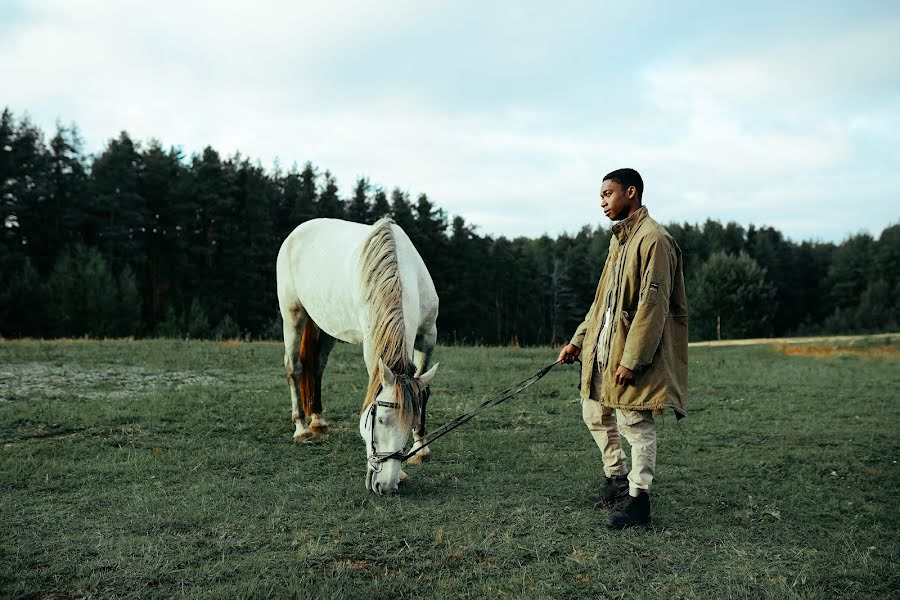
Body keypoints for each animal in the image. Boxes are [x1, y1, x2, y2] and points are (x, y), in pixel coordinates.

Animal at [276, 218, 442, 494]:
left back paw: (318, 420)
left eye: (409, 423)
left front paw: (421, 449)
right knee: (294, 368)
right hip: (293, 315)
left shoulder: (428, 339)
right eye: (381, 420)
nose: (386, 485)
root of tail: (297, 232)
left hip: (326, 326)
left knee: (317, 365)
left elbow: (424, 393)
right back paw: (301, 428)